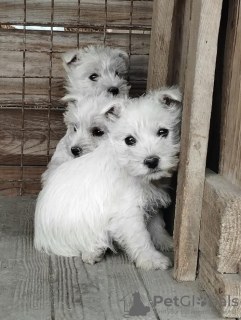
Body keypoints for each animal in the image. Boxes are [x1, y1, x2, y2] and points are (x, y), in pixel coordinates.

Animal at [34, 87, 182, 270]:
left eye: (163, 132)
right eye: (129, 140)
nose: (151, 161)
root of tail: (39, 238)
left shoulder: (151, 202)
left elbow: (156, 226)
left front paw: (165, 241)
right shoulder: (127, 212)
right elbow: (140, 237)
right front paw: (152, 259)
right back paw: (94, 252)